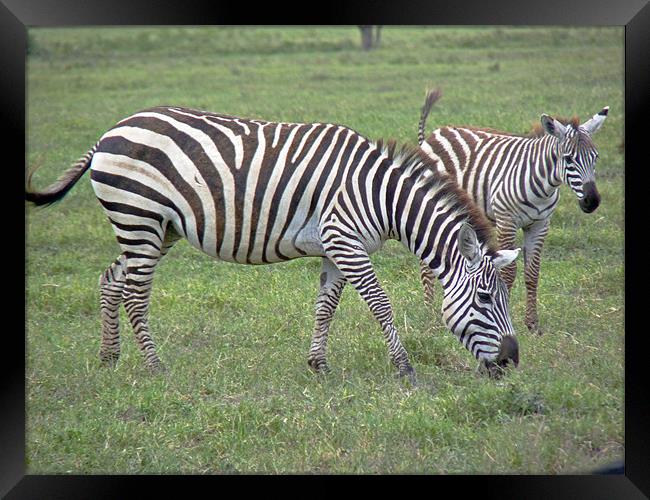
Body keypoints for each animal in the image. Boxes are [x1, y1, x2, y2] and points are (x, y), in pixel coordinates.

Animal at [25, 104, 520, 378]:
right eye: (483, 298)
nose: (512, 362)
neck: (380, 195)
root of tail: (109, 132)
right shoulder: (345, 241)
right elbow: (380, 304)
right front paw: (405, 369)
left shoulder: (336, 247)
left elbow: (326, 306)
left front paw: (318, 366)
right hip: (140, 217)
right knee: (134, 292)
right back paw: (154, 366)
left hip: (155, 226)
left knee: (112, 279)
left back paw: (110, 357)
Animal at [412, 91, 604, 332]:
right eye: (568, 159)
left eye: (595, 157)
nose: (592, 201)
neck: (542, 182)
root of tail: (436, 133)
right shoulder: (507, 222)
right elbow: (508, 272)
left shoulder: (540, 224)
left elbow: (533, 273)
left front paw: (532, 325)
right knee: (425, 261)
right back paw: (429, 310)